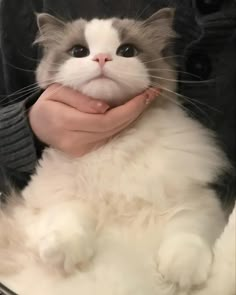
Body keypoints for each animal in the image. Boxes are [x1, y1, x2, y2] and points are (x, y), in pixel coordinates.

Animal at [0, 8, 229, 295]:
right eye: (79, 51)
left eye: (127, 51)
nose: (101, 58)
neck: (113, 143)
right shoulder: (50, 199)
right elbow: (67, 216)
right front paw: (64, 251)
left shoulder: (196, 201)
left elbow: (188, 231)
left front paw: (180, 273)